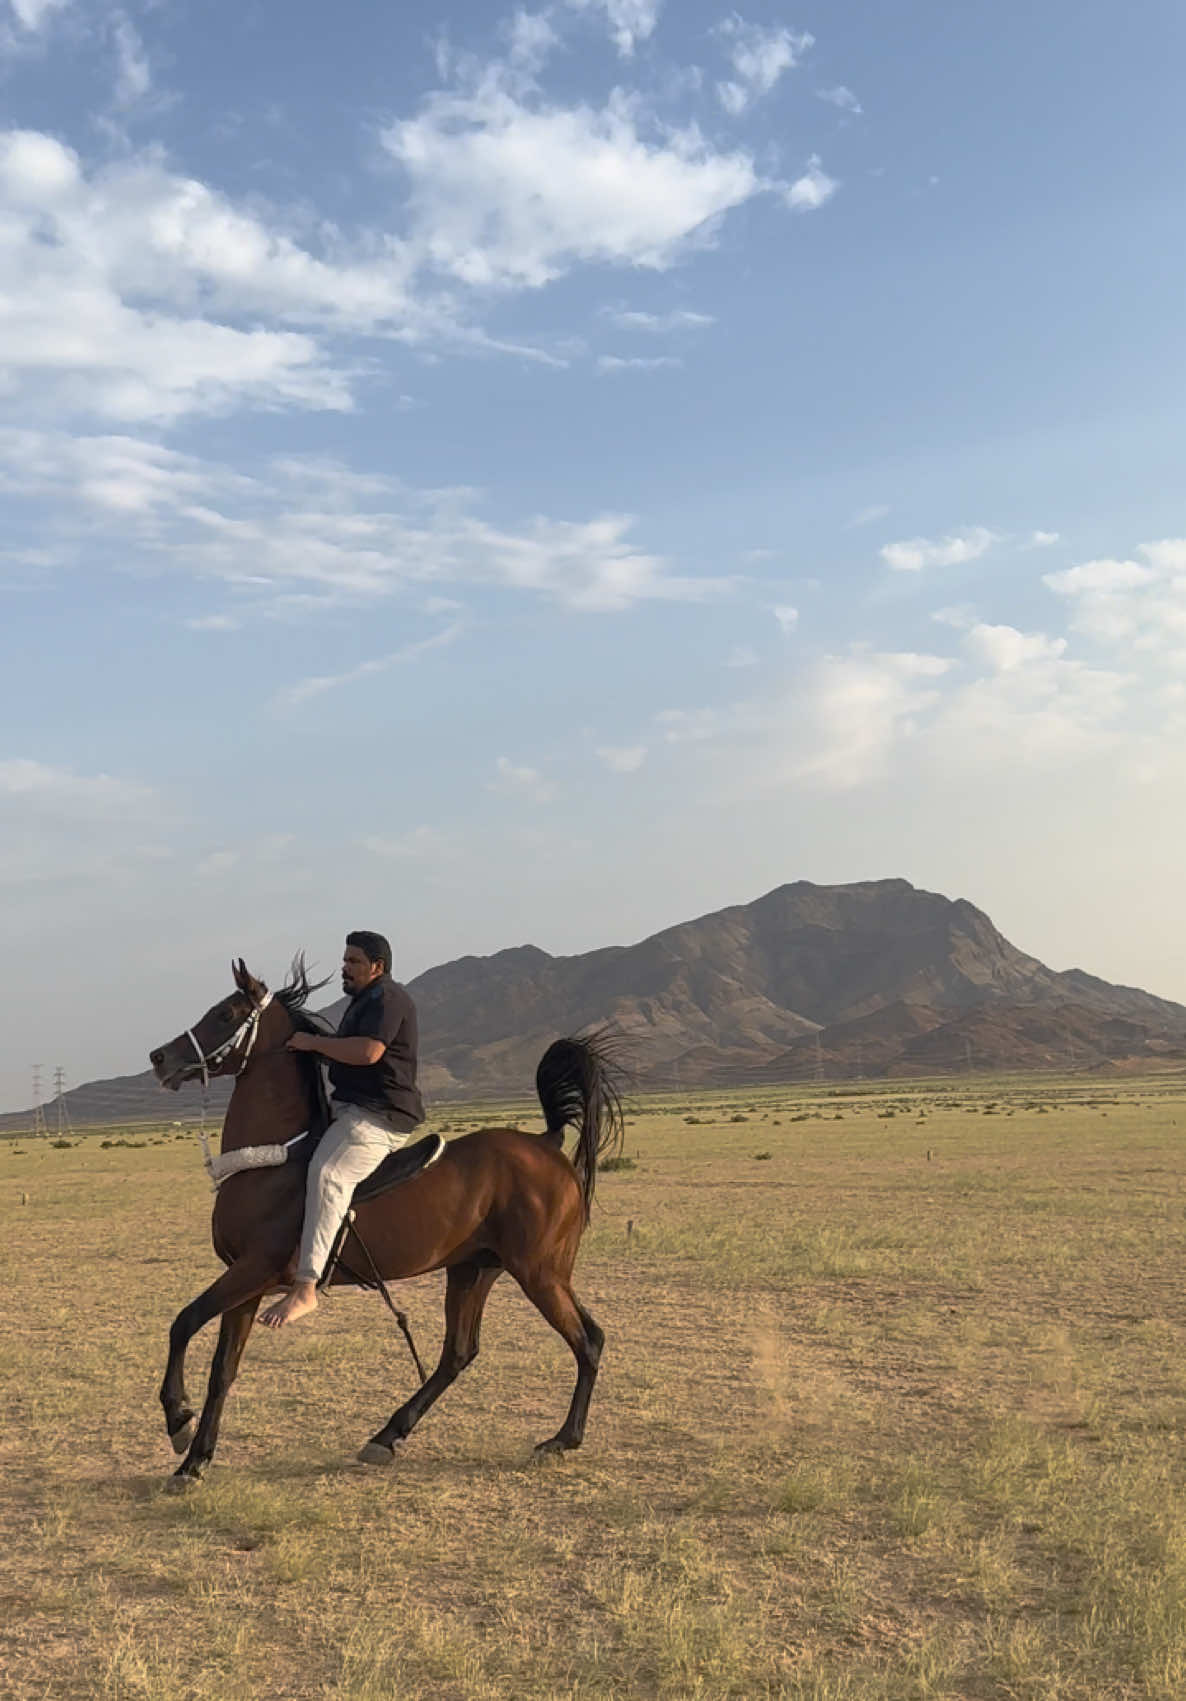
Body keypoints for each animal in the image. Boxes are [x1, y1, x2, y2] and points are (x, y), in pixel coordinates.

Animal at [149, 957, 623, 1486]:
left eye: (226, 1013)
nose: (159, 1058)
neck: (273, 1160)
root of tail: (545, 1143)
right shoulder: (244, 1282)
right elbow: (222, 1369)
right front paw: (194, 1459)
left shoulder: (252, 1271)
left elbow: (183, 1323)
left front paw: (178, 1422)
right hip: (474, 1269)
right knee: (459, 1354)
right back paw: (387, 1435)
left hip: (539, 1273)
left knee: (587, 1341)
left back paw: (563, 1439)